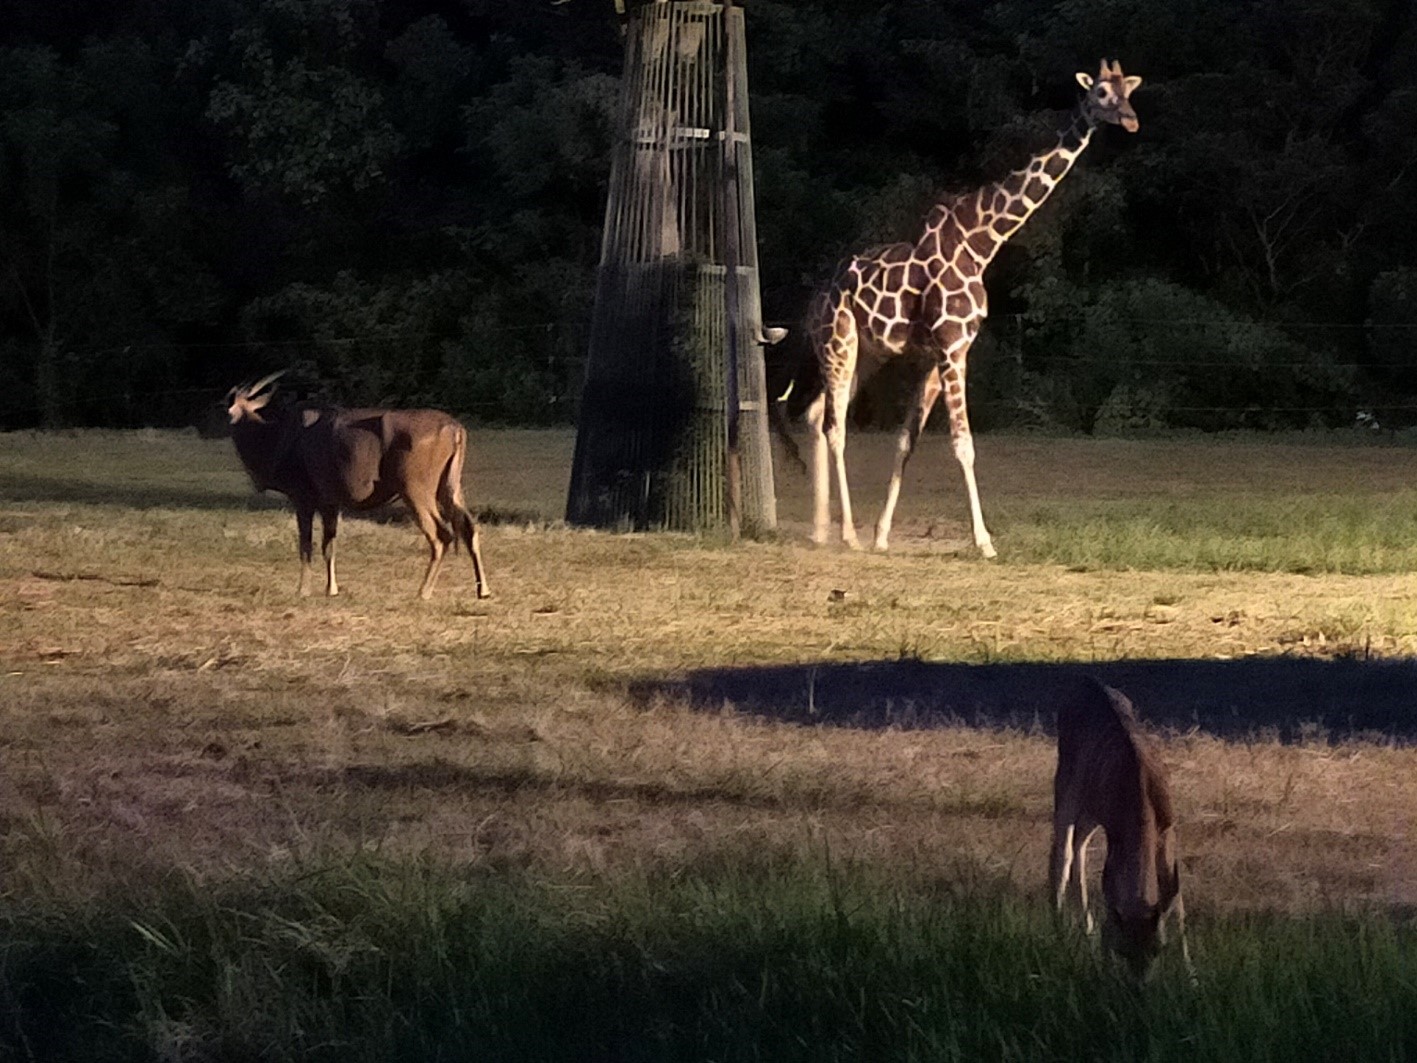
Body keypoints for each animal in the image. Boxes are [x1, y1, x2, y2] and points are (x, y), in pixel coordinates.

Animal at [221, 371, 487, 603]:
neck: (276, 437)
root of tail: (454, 428)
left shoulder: (303, 498)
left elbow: (306, 545)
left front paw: (303, 589)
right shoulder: (330, 503)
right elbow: (329, 545)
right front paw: (332, 589)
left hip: (416, 491)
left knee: (442, 535)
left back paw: (424, 591)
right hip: (450, 488)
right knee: (470, 528)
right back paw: (482, 590)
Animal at [804, 58, 1144, 558]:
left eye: (1129, 91)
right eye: (1101, 92)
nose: (1131, 119)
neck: (981, 242)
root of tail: (816, 300)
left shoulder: (941, 353)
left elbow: (905, 440)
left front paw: (883, 535)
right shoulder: (950, 348)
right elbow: (963, 445)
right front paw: (983, 542)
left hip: (868, 353)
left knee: (816, 414)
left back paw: (820, 529)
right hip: (838, 341)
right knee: (835, 425)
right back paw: (845, 533)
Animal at [1048, 677, 1190, 980]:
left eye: (1157, 949)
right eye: (1124, 950)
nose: (1138, 986)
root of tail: (1086, 682)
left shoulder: (1168, 830)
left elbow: (1177, 900)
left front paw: (1191, 975)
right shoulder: (1118, 834)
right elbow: (1110, 887)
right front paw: (1103, 965)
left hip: (1092, 808)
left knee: (1079, 847)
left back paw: (1086, 930)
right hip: (1066, 784)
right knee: (1062, 852)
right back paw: (1061, 933)